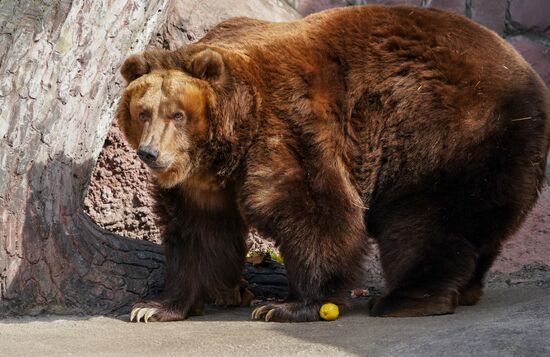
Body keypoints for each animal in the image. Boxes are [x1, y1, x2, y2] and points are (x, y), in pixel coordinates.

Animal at [117, 4, 550, 322]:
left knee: (424, 218)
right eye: (143, 112)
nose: (150, 154)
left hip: (445, 130)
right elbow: (197, 233)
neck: (229, 140)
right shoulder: (200, 183)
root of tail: (530, 75)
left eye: (177, 114)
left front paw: (287, 305)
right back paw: (464, 288)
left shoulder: (291, 125)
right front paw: (155, 307)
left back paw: (404, 298)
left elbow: (315, 211)